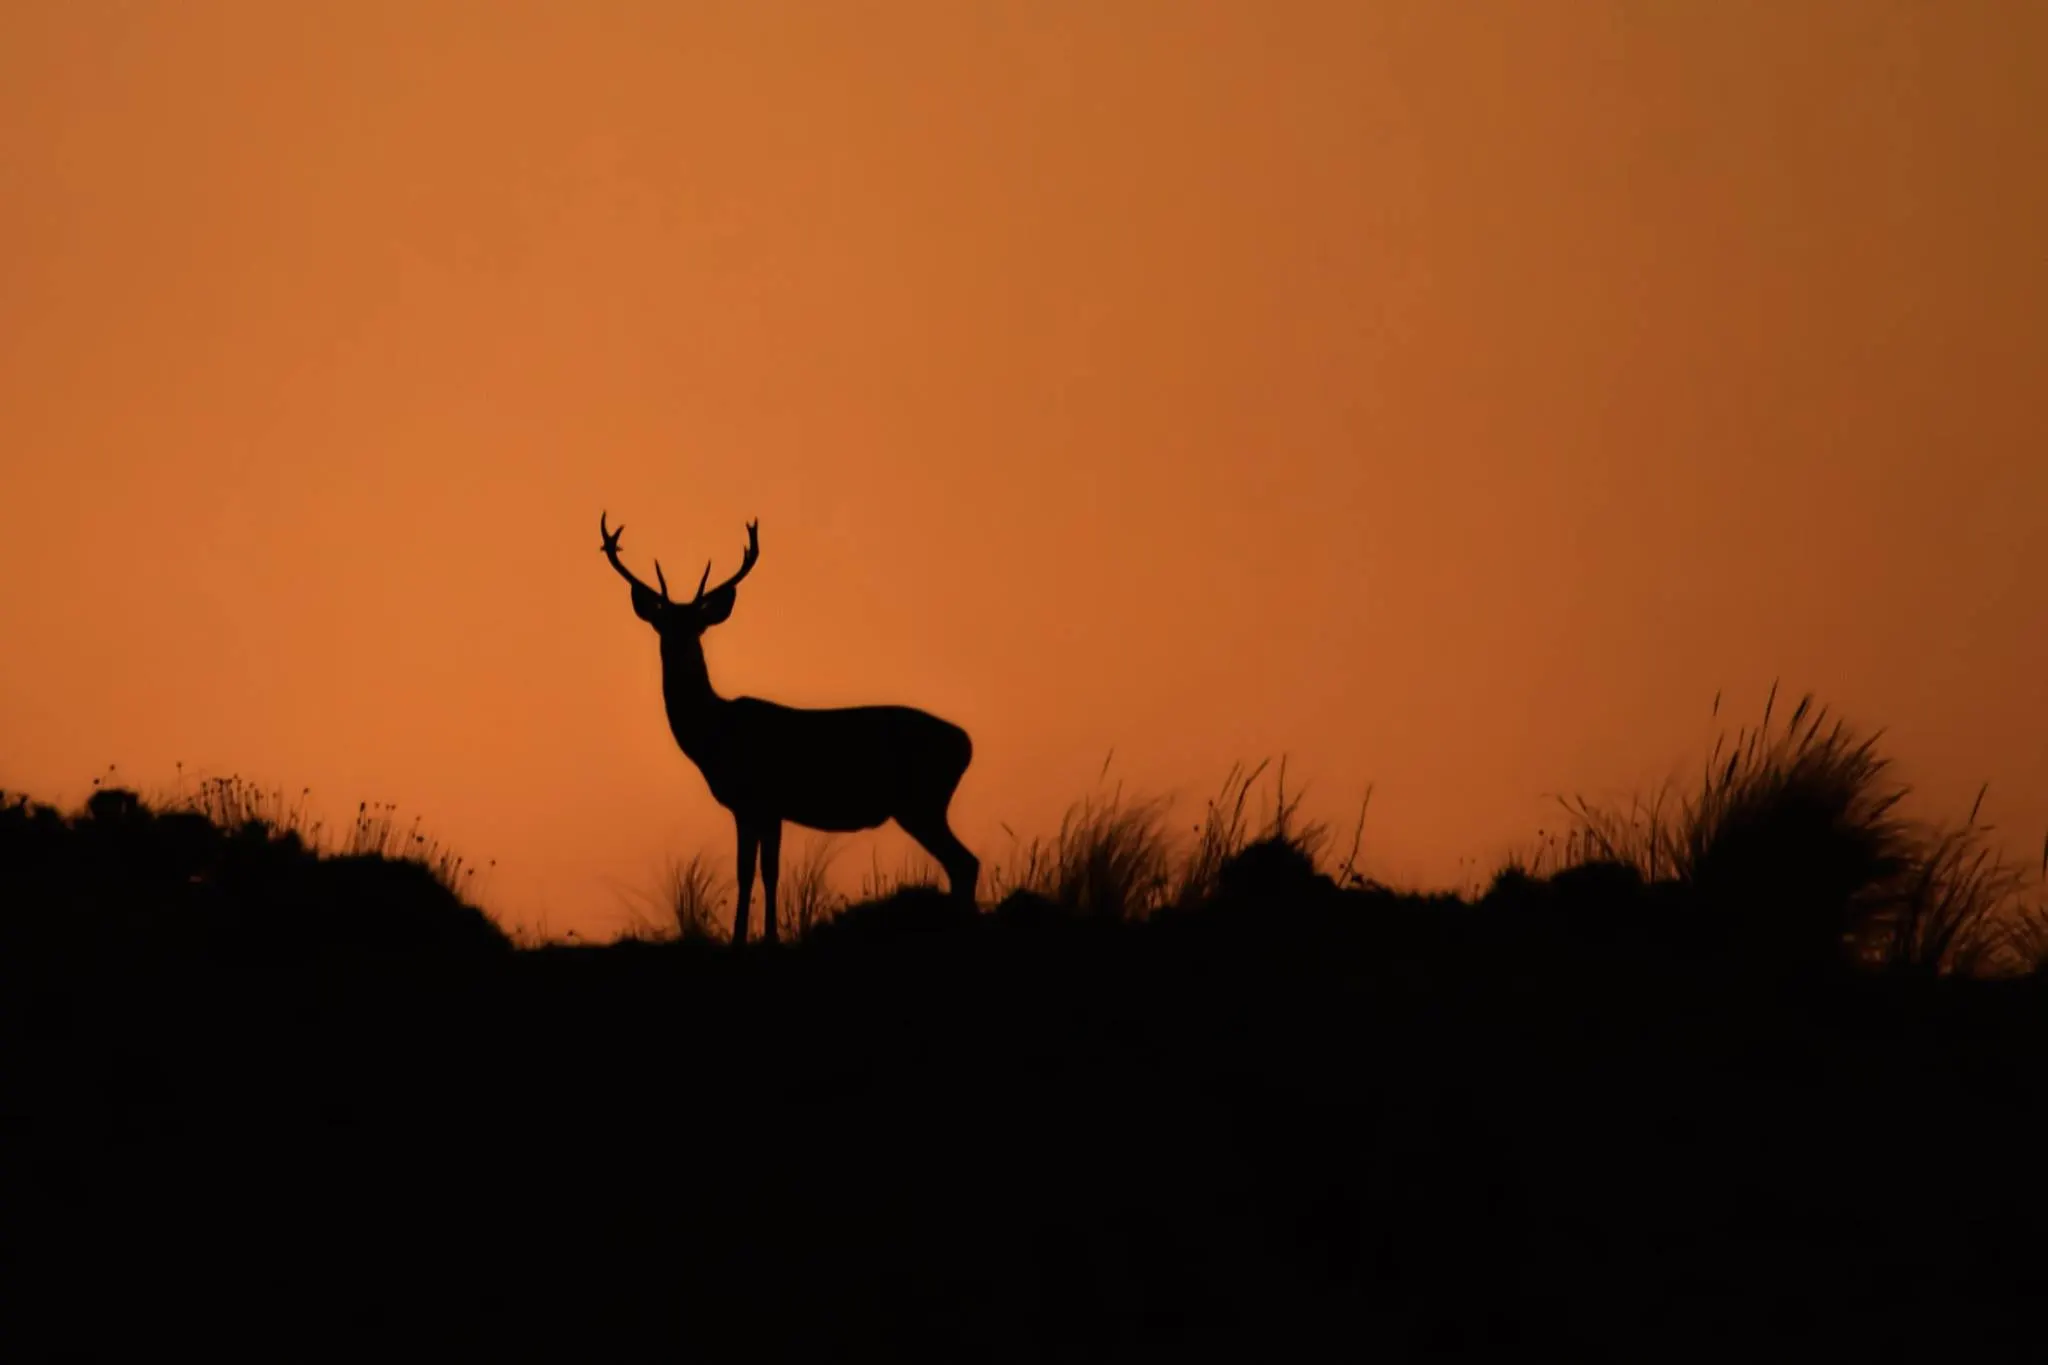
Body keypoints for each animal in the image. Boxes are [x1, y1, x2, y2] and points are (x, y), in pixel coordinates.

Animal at [599, 512, 980, 943]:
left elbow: (758, 872)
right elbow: (757, 872)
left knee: (965, 862)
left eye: (699, 625)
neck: (716, 736)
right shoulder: (759, 808)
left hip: (921, 801)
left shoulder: (758, 799)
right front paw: (755, 936)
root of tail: (966, 743)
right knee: (962, 864)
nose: (682, 650)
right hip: (924, 804)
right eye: (662, 624)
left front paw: (755, 939)